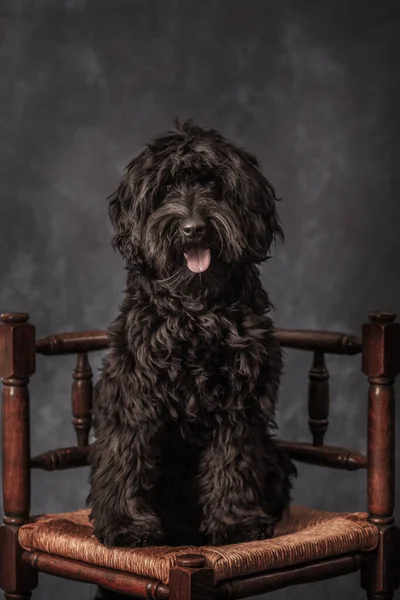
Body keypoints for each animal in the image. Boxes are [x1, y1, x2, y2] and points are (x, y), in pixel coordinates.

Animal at [86, 119, 294, 552]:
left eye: (213, 183)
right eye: (165, 188)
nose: (193, 228)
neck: (196, 311)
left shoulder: (240, 400)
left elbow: (233, 460)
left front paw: (236, 523)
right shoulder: (134, 394)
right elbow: (127, 457)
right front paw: (126, 526)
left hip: (277, 457)